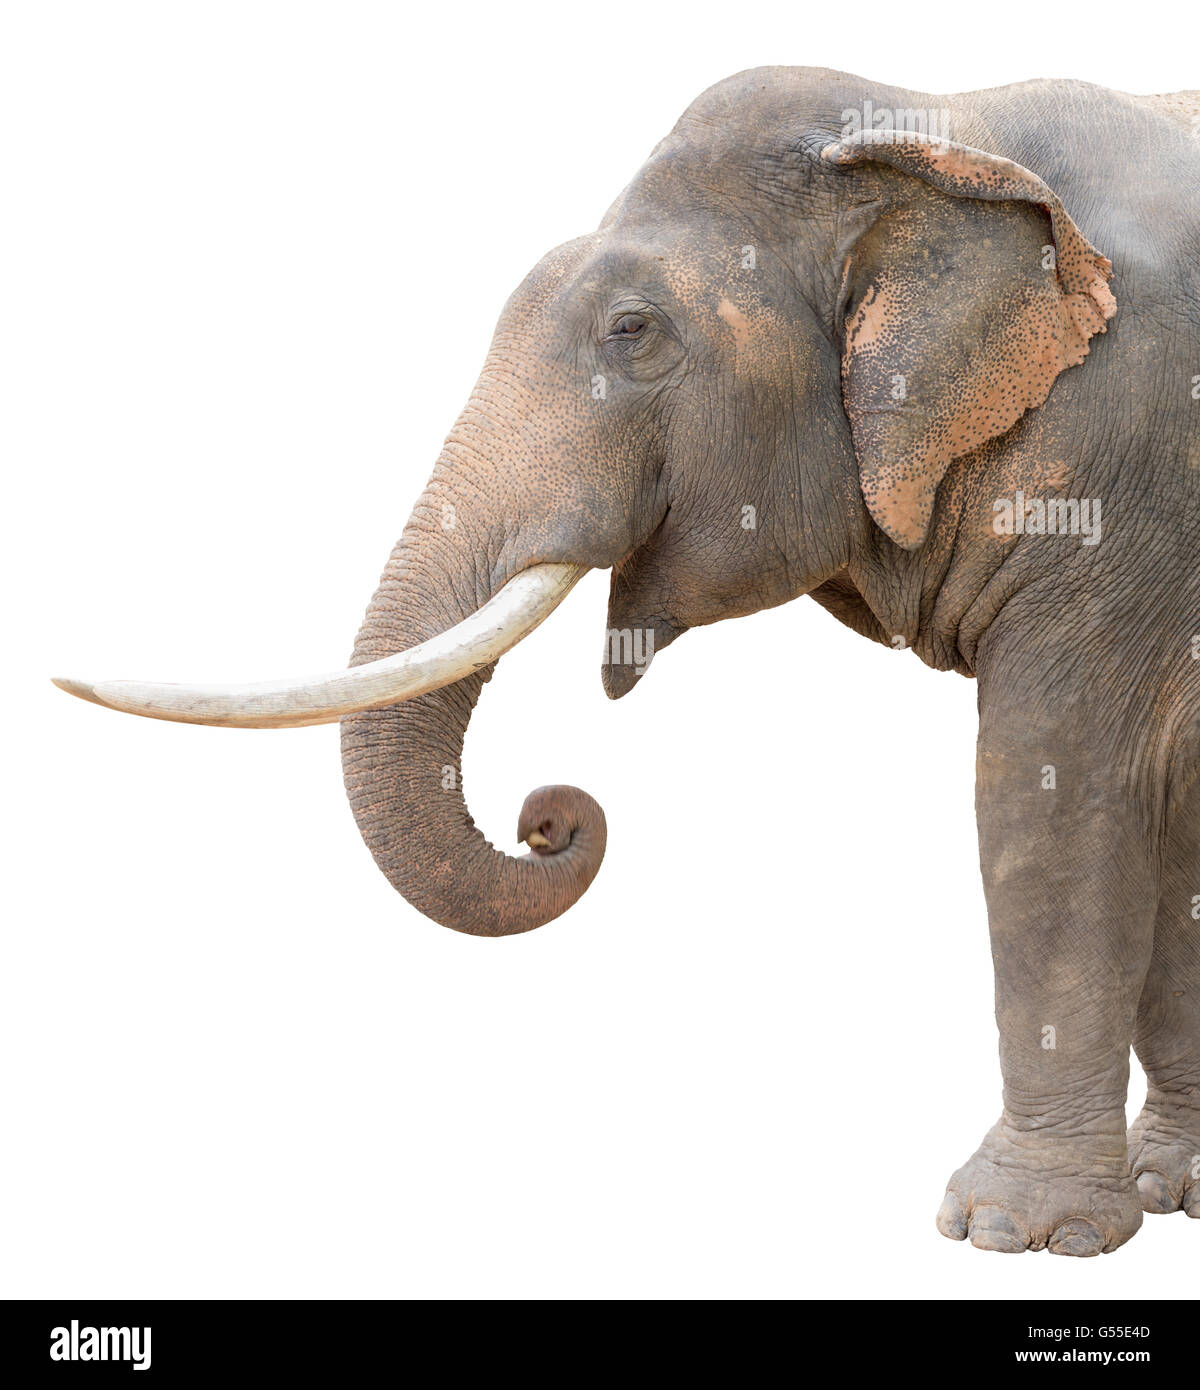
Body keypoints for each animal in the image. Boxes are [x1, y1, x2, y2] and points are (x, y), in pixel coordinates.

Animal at [57, 67, 1200, 1257]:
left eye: (632, 330)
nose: (548, 815)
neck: (929, 124)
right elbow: (1154, 805)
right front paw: (1154, 1196)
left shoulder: (1120, 472)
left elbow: (1055, 781)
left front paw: (1013, 1233)